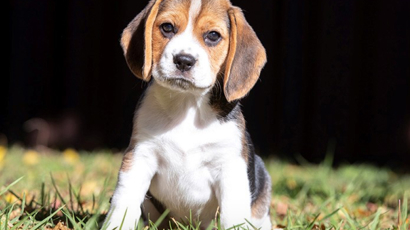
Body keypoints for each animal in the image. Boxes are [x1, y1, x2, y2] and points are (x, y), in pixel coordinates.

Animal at [105, 0, 272, 229]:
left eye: (213, 35)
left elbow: (232, 215)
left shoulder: (230, 166)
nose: (184, 60)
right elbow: (124, 201)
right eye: (167, 27)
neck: (188, 105)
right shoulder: (140, 155)